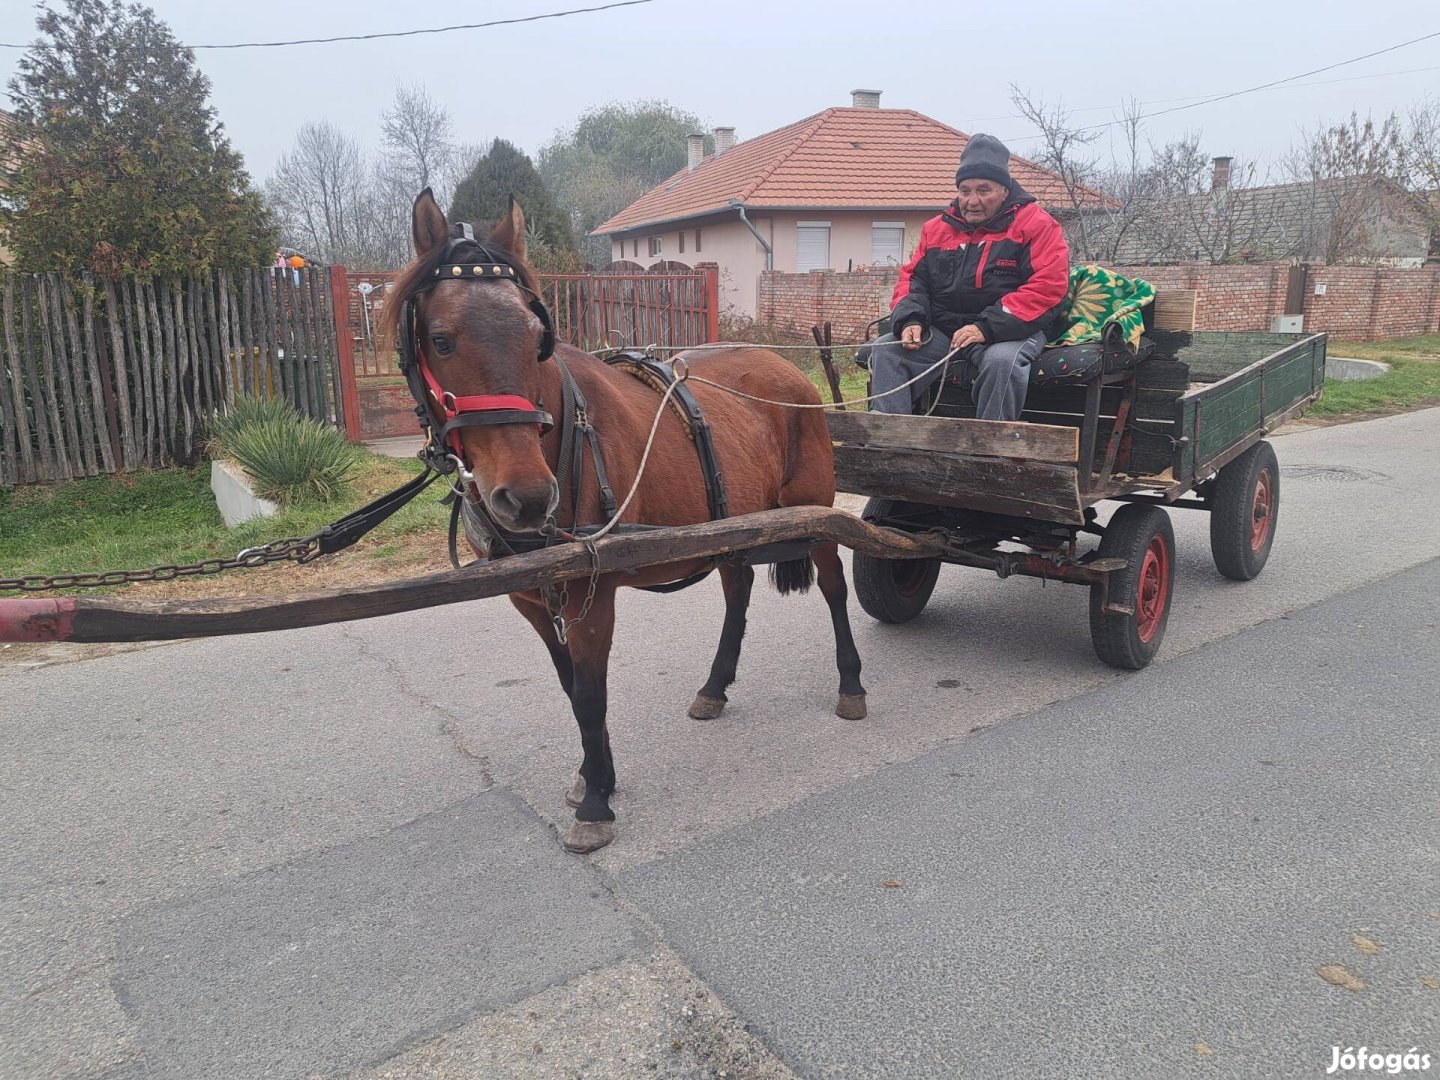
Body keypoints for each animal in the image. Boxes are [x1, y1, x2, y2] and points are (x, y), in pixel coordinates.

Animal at [377, 192, 858, 852]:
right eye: (441, 340)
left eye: (538, 339)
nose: (527, 498)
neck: (562, 440)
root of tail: (790, 375)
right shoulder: (532, 599)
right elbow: (570, 687)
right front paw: (592, 774)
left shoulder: (592, 593)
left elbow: (589, 693)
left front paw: (597, 801)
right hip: (731, 525)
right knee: (737, 590)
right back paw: (715, 686)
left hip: (817, 517)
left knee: (834, 587)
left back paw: (851, 684)